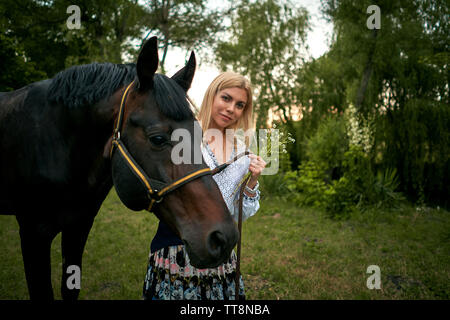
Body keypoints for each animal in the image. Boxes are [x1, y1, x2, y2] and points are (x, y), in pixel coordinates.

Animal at [0, 37, 239, 300]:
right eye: (157, 139)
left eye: (199, 135)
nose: (223, 237)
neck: (54, 143)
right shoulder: (33, 233)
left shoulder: (78, 225)